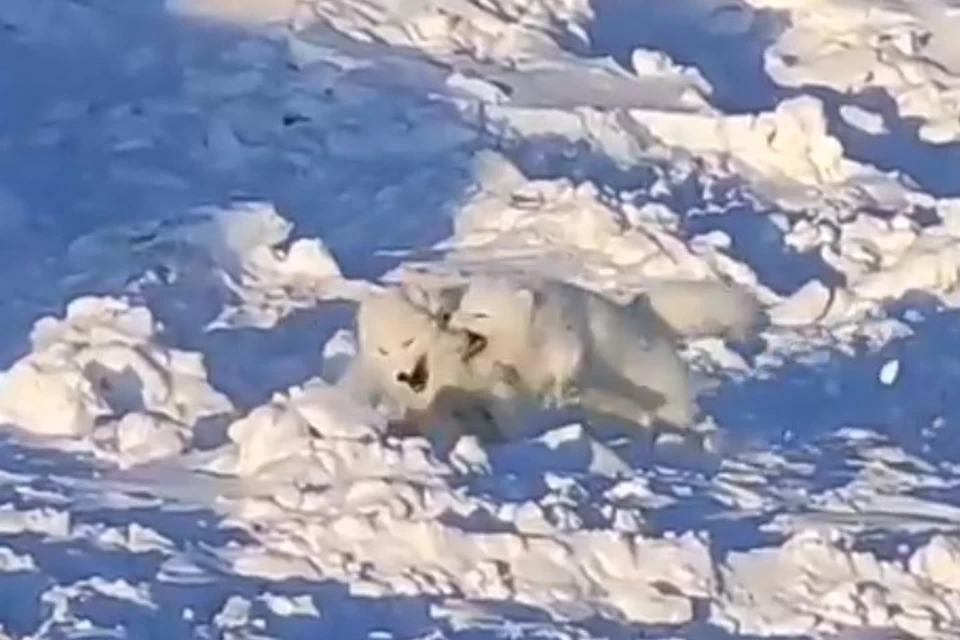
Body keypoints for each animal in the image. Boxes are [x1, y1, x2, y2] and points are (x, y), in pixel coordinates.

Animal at [442, 276, 764, 436]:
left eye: (480, 314)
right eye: (463, 305)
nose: (446, 319)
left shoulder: (566, 337)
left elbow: (566, 366)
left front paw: (558, 394)